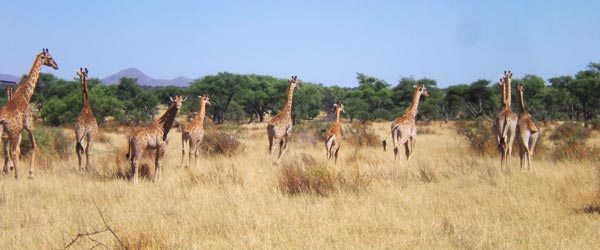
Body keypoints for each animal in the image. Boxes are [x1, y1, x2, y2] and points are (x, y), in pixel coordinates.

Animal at [0, 47, 58, 179]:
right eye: (50, 57)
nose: (56, 65)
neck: (26, 94)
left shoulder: (21, 130)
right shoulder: (29, 126)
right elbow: (33, 146)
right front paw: (31, 173)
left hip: (9, 134)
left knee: (8, 152)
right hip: (13, 132)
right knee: (12, 152)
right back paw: (16, 176)